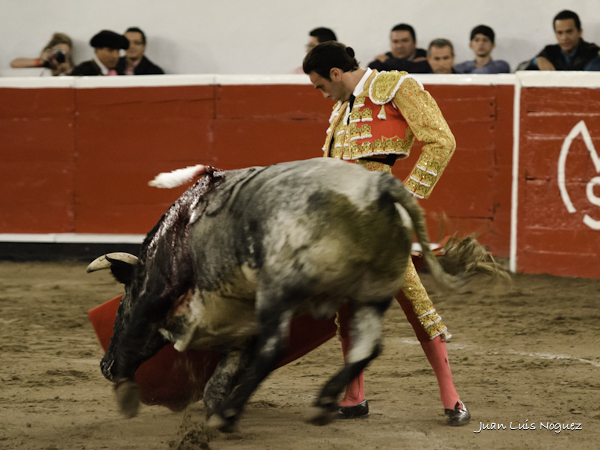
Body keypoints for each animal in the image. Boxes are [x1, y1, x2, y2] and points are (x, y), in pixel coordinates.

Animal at [89, 158, 462, 432]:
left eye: (120, 307)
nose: (104, 366)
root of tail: (378, 188)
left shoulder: (157, 291)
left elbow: (137, 331)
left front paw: (126, 394)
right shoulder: (237, 325)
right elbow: (219, 379)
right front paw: (215, 408)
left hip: (278, 288)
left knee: (274, 347)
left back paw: (232, 415)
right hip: (372, 293)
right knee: (367, 346)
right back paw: (323, 404)